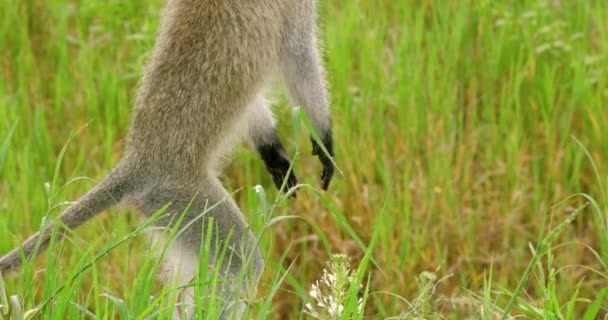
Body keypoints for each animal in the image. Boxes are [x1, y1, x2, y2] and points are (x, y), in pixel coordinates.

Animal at [0, 0, 332, 318]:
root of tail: (138, 164)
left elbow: (254, 107)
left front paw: (274, 155)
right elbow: (300, 57)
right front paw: (325, 142)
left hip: (169, 213)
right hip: (184, 199)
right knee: (241, 264)